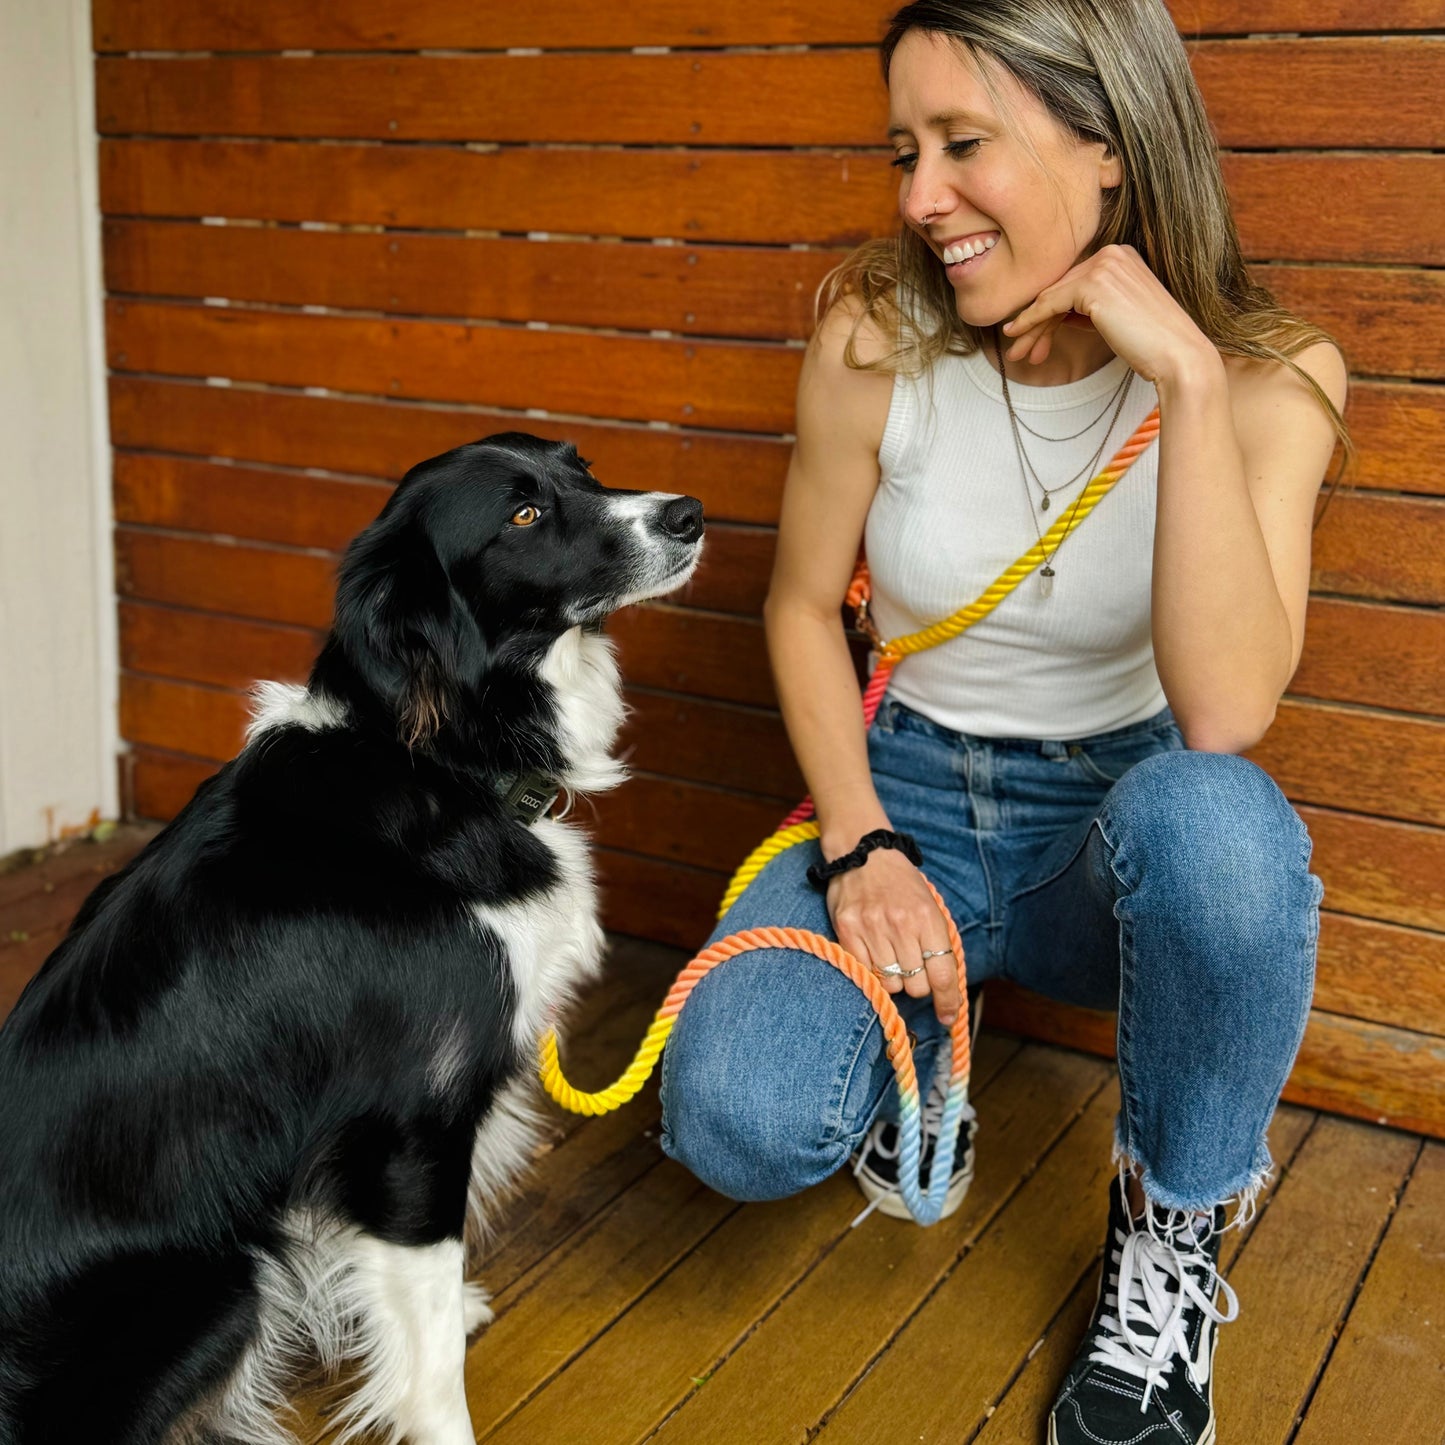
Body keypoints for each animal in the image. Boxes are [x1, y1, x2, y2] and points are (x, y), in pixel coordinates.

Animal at [0, 436, 705, 1445]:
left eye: (582, 466)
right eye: (523, 515)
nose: (689, 514)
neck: (438, 760)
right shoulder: (408, 1129)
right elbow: (430, 1349)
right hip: (219, 1282)